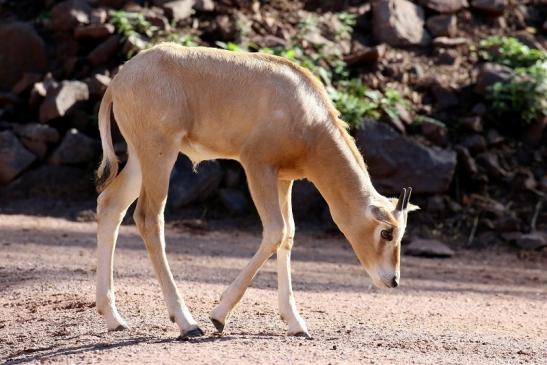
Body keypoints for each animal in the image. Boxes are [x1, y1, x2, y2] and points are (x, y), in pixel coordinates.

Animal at [94, 43, 420, 338]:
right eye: (387, 232)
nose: (392, 280)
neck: (305, 109)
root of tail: (120, 80)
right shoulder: (257, 165)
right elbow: (275, 230)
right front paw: (218, 316)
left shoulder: (284, 178)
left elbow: (289, 234)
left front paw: (296, 323)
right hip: (160, 153)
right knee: (149, 218)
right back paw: (187, 324)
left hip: (141, 158)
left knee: (111, 205)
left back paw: (113, 318)